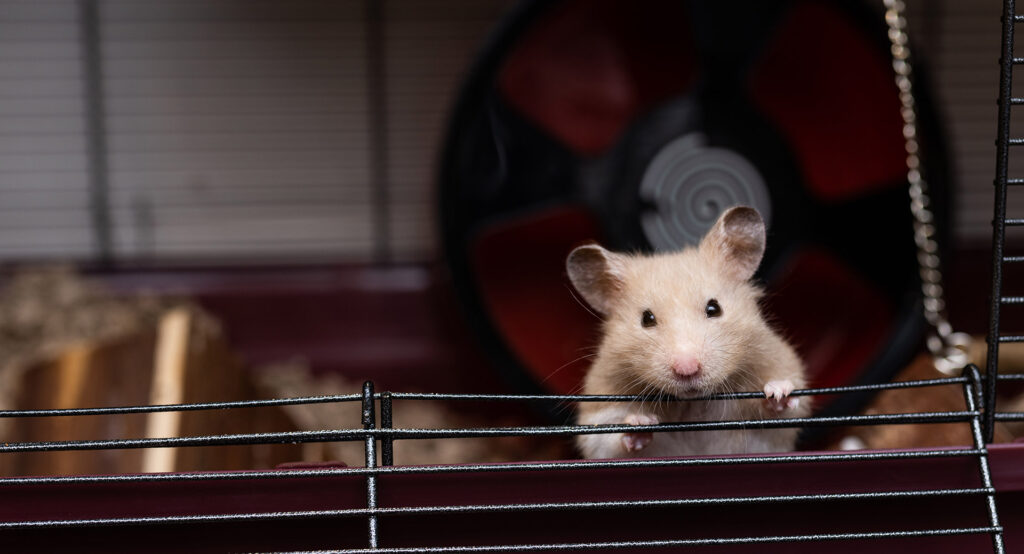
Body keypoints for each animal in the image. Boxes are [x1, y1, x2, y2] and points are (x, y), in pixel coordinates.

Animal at [566, 206, 809, 459]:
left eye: (714, 308)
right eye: (646, 319)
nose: (687, 369)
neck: (692, 403)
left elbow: (783, 410)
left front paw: (778, 392)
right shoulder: (598, 412)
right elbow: (607, 437)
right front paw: (640, 423)